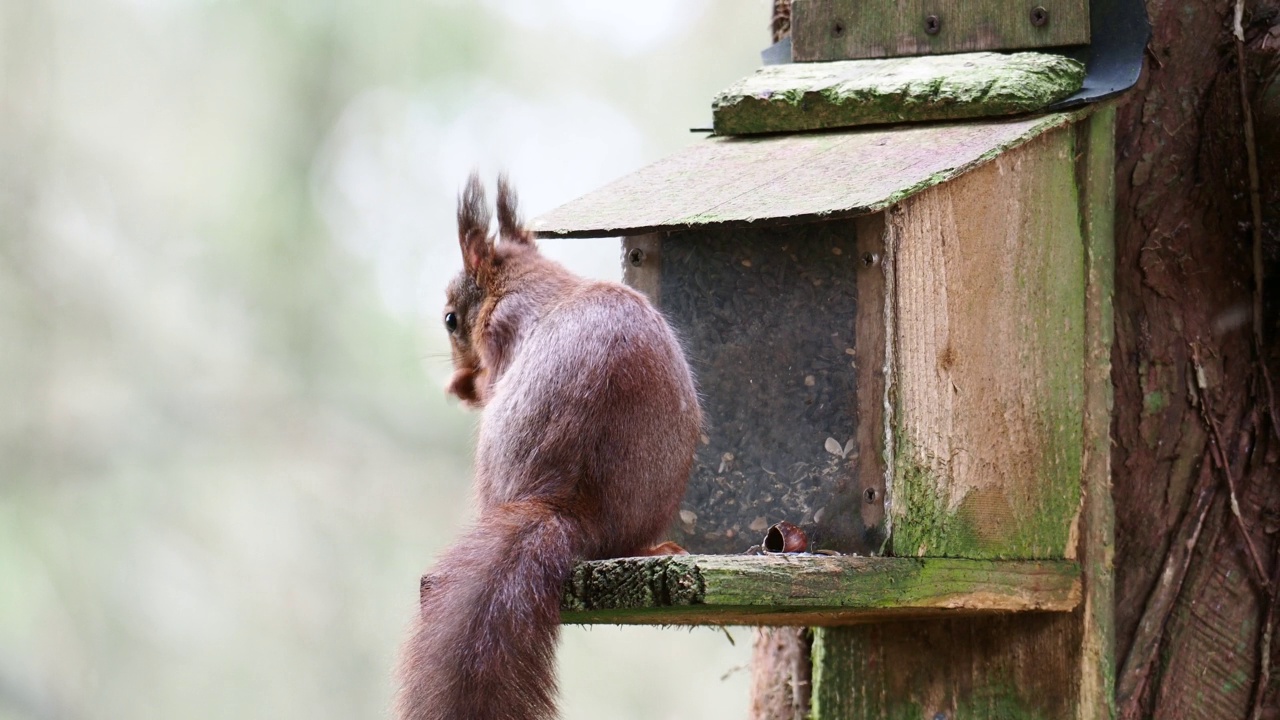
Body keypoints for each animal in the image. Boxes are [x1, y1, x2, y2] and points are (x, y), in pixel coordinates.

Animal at [396, 174, 706, 717]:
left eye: (451, 319)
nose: (459, 384)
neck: (529, 280)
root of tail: (568, 507)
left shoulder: (501, 327)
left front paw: (467, 385)